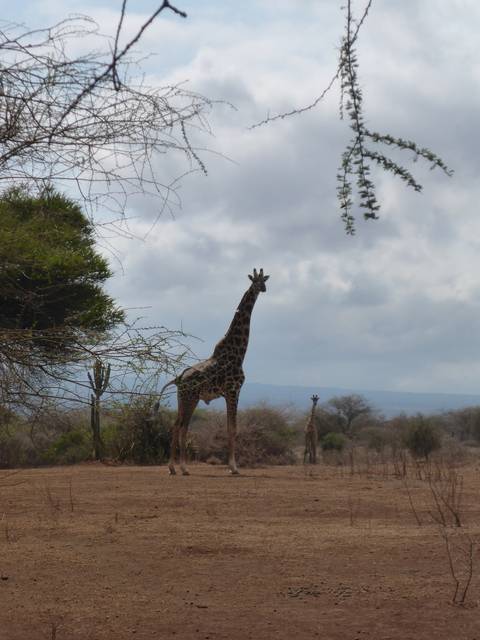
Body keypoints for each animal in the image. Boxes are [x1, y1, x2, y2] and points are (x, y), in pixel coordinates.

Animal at [156, 268, 269, 476]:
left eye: (264, 280)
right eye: (255, 281)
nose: (263, 288)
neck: (238, 353)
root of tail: (179, 378)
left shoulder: (228, 393)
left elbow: (229, 427)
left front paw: (232, 466)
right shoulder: (234, 390)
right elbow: (232, 428)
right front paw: (234, 468)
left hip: (183, 398)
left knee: (177, 426)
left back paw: (174, 468)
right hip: (190, 398)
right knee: (181, 427)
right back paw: (182, 467)